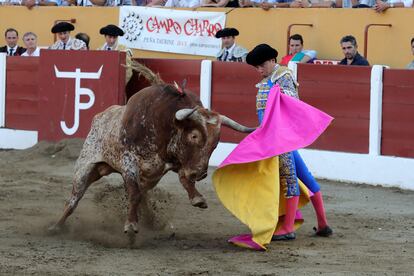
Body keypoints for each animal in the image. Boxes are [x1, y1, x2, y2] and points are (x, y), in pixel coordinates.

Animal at [50, 64, 254, 235]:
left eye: (216, 143)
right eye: (194, 136)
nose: (201, 173)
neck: (164, 127)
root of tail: (100, 116)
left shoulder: (174, 164)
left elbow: (181, 180)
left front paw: (197, 198)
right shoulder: (129, 163)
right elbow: (133, 193)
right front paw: (131, 225)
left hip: (147, 177)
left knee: (143, 194)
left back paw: (149, 219)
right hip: (86, 167)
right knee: (74, 199)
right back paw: (56, 226)